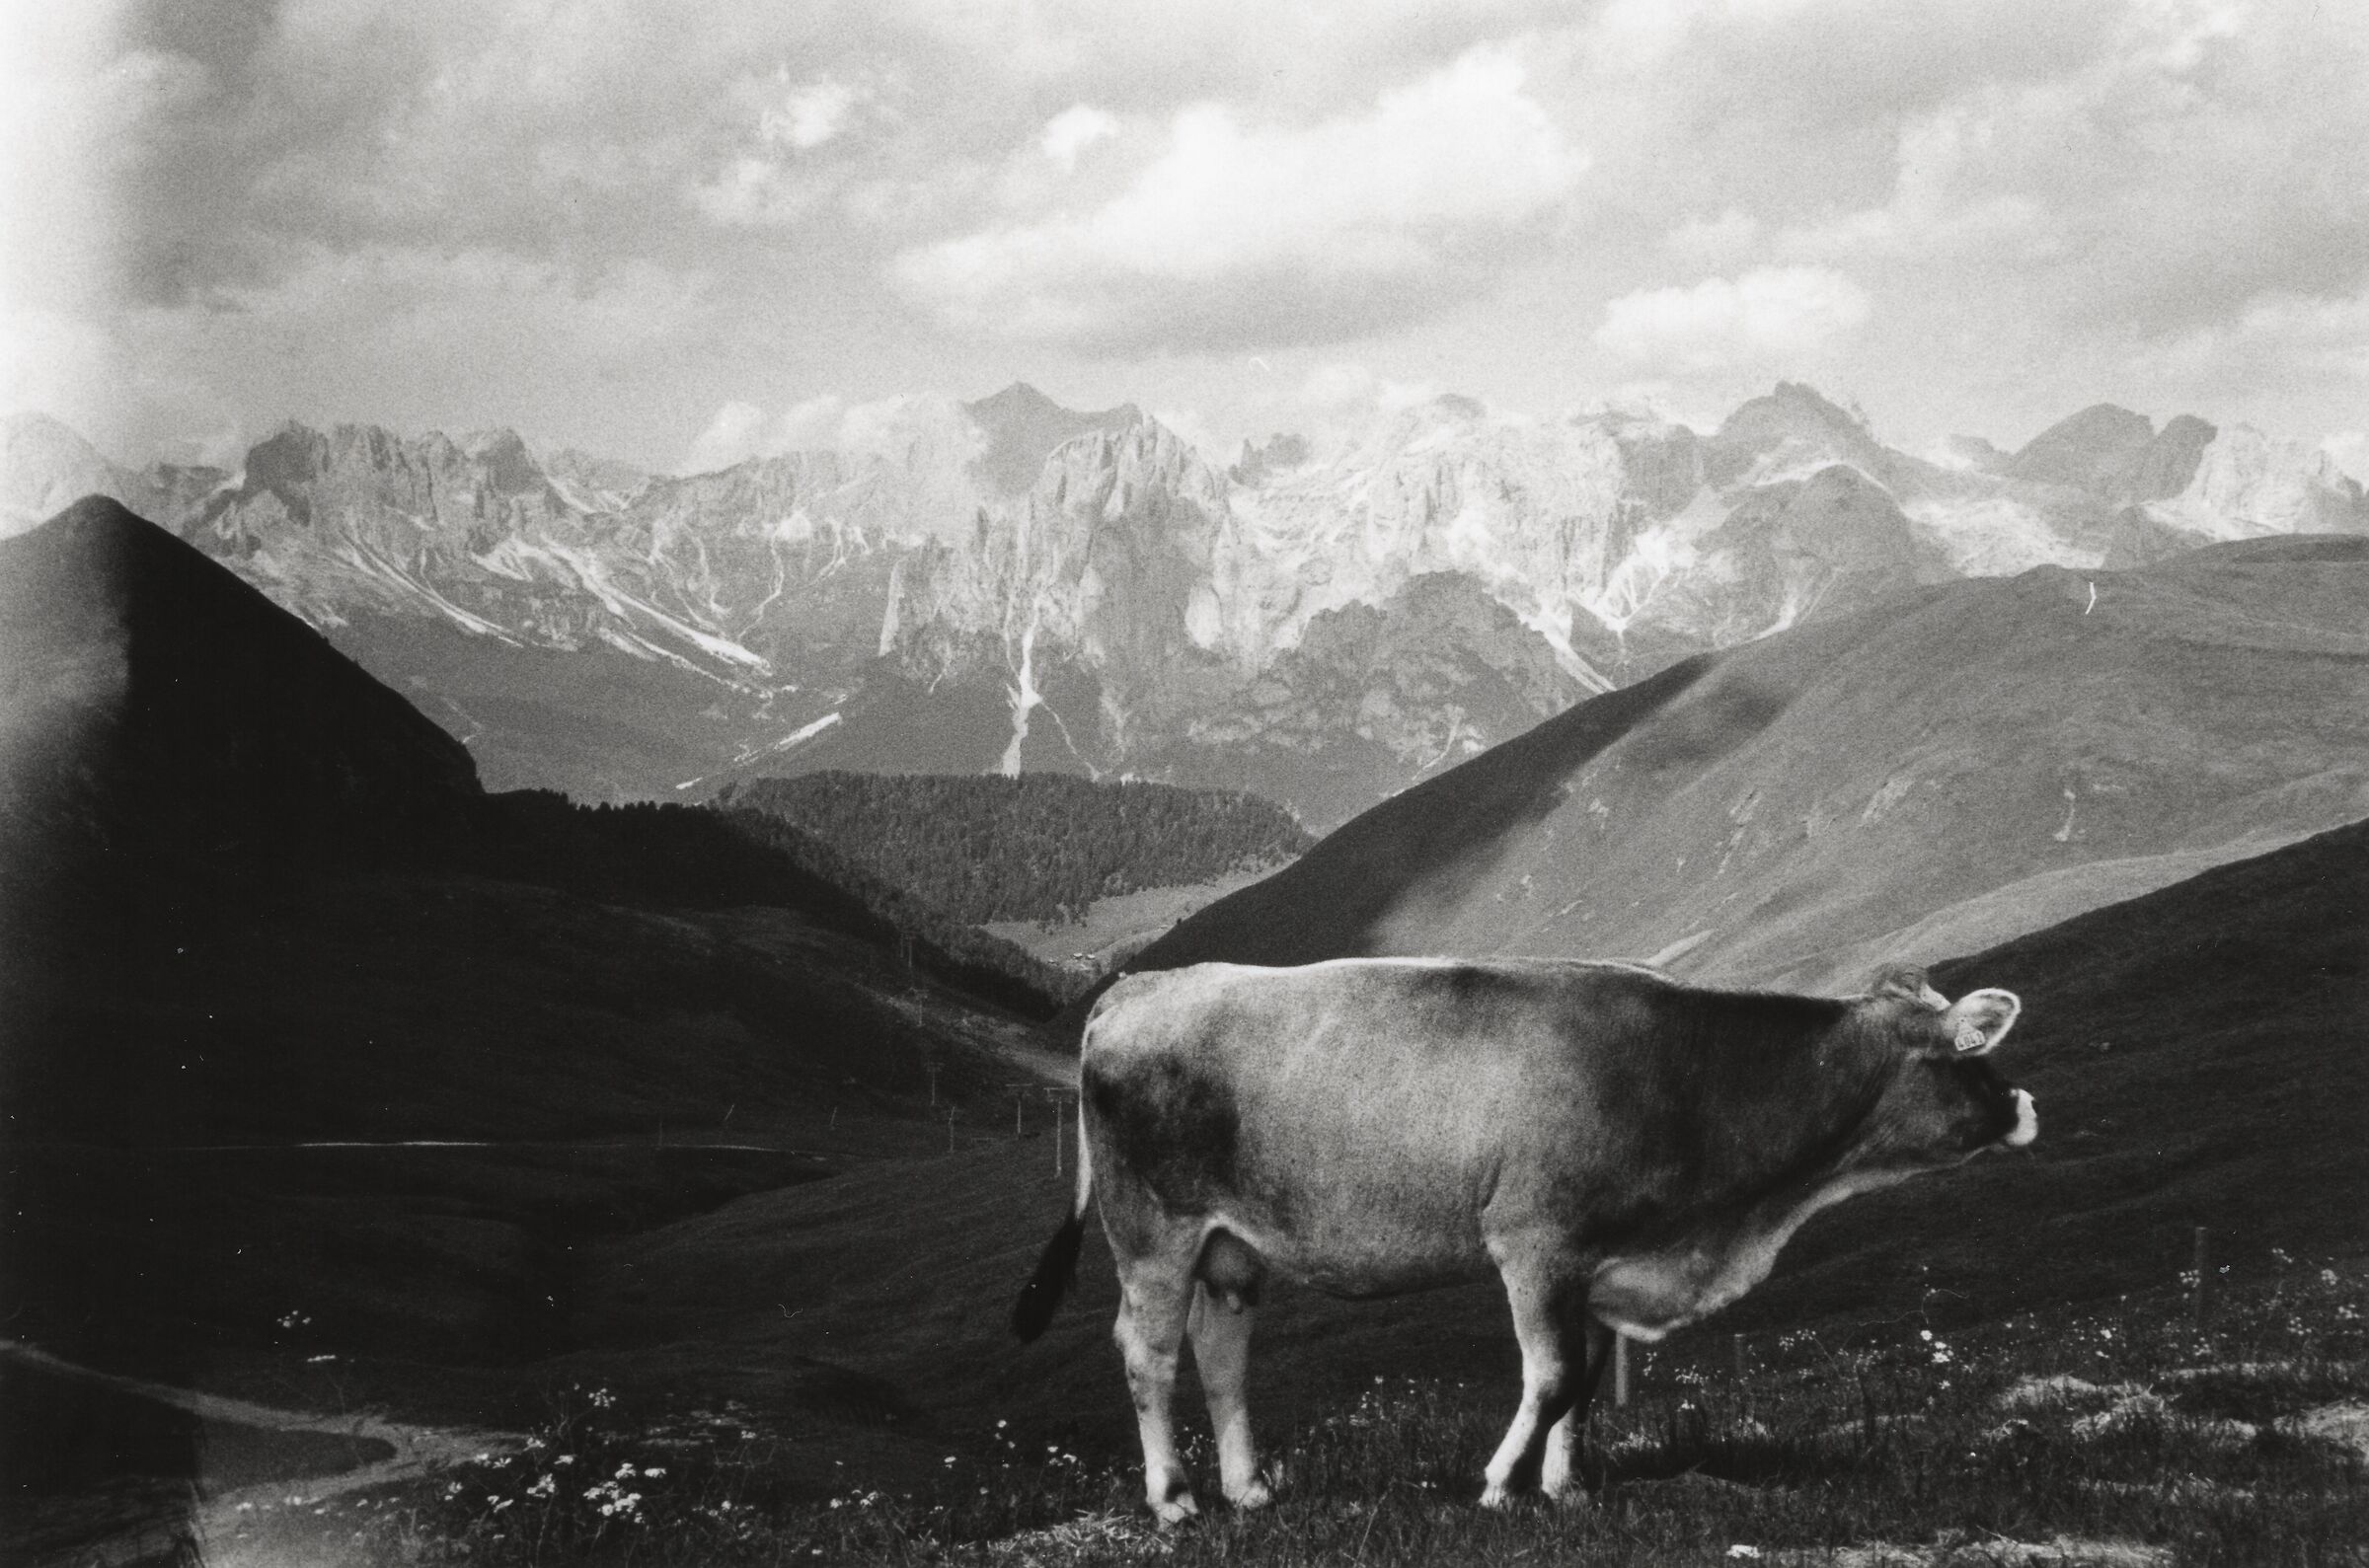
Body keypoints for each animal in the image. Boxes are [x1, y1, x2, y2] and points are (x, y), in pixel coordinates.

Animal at [1012, 956, 2036, 1520]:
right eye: (1971, 1054)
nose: (2025, 1106)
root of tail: (1142, 984)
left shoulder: (1596, 1259)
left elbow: (1583, 1384)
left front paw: (1566, 1488)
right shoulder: (1535, 1242)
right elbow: (1549, 1376)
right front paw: (1503, 1483)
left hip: (1232, 1243)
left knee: (1221, 1350)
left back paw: (1249, 1488)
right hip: (1154, 1228)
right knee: (1146, 1351)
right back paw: (1173, 1498)